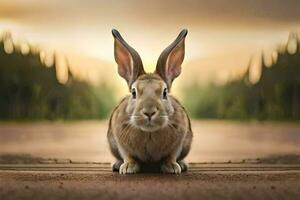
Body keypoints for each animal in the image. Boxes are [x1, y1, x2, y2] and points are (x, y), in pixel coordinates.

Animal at [107, 28, 192, 174]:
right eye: (134, 92)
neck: (149, 132)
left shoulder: (179, 143)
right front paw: (128, 168)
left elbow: (172, 155)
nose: (149, 112)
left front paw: (172, 167)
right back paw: (117, 164)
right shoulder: (120, 143)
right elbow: (128, 155)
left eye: (165, 92)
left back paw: (182, 164)